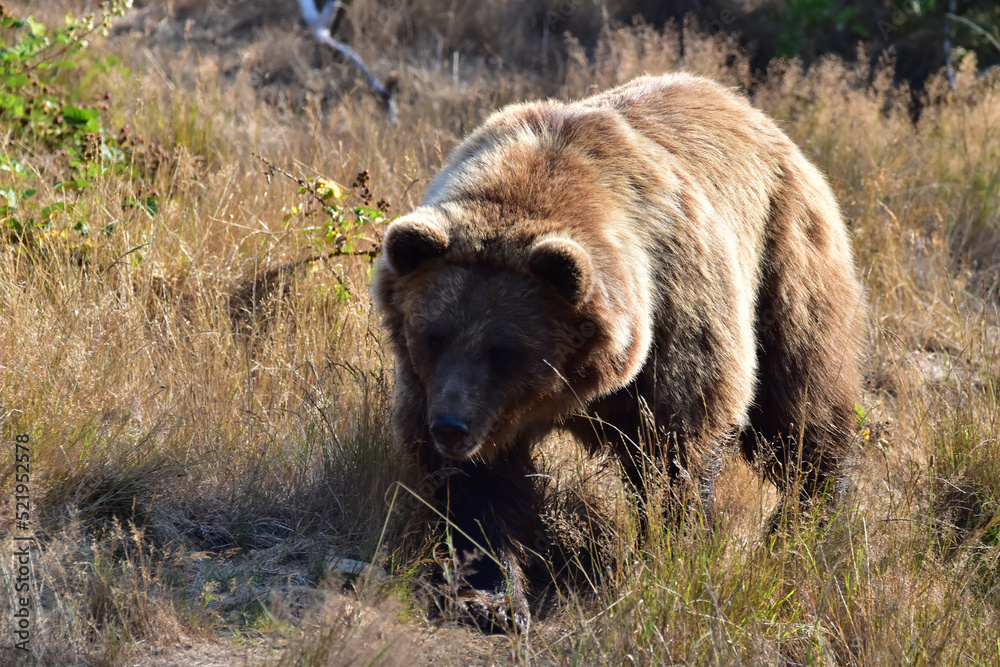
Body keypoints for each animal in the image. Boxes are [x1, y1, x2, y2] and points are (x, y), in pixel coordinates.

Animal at [374, 73, 868, 632]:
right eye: (432, 336)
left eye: (505, 351)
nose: (451, 426)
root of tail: (755, 114)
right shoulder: (436, 388)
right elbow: (480, 486)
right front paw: (491, 597)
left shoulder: (673, 319)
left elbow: (676, 447)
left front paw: (672, 555)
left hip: (783, 261)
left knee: (801, 408)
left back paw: (808, 517)